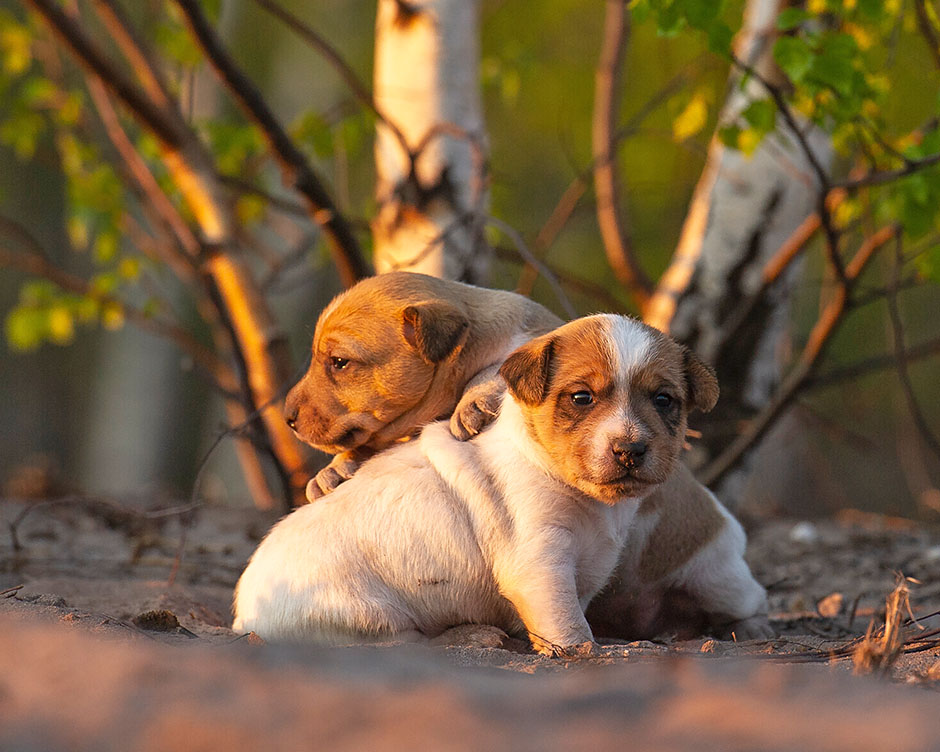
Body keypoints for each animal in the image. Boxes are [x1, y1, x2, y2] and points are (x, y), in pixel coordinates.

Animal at [233, 314, 764, 648]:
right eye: (582, 398)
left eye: (664, 400)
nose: (630, 450)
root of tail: (244, 616)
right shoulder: (540, 566)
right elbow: (571, 632)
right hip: (366, 617)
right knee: (407, 642)